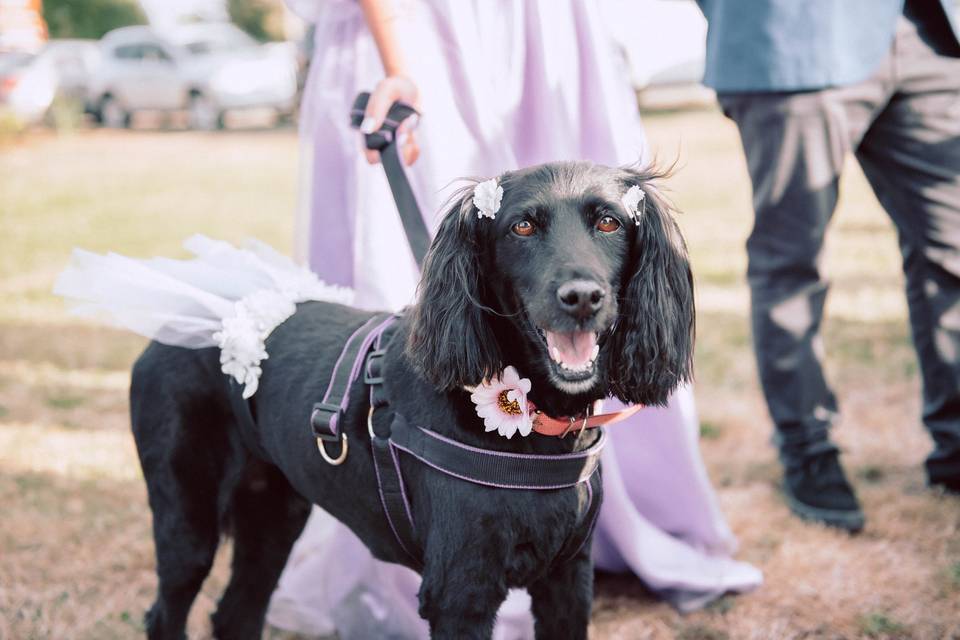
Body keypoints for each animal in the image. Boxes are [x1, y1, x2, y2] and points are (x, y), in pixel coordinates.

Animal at [131, 160, 692, 640]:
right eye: (522, 228)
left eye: (610, 222)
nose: (581, 298)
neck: (533, 428)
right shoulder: (460, 592)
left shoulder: (568, 580)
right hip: (188, 520)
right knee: (167, 612)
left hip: (272, 515)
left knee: (236, 613)